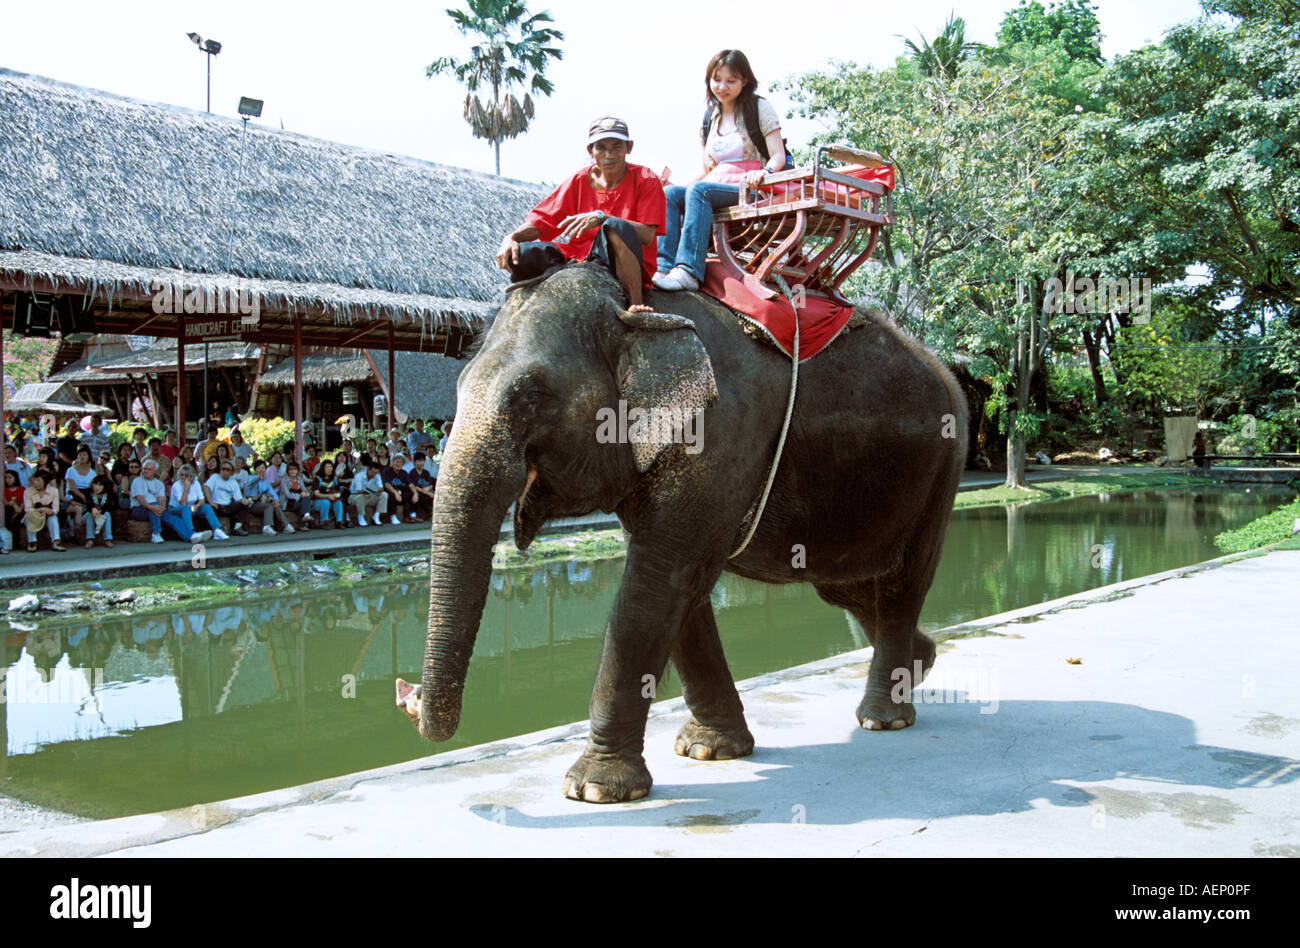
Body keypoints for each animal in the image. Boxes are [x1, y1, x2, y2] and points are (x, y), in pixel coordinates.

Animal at [401, 261, 968, 803]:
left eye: (530, 396)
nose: (407, 696)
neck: (635, 308)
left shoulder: (720, 434)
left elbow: (656, 586)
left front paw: (594, 790)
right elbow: (681, 591)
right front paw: (708, 750)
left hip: (945, 464)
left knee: (902, 584)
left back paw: (883, 718)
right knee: (847, 587)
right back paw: (922, 662)